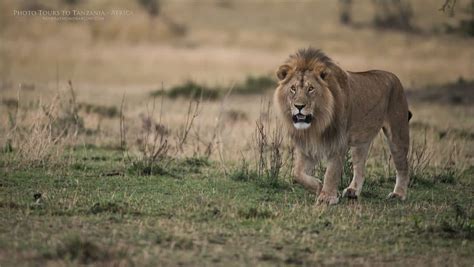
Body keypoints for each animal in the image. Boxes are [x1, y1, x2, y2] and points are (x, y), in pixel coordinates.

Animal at [274, 48, 412, 205]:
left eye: (311, 88)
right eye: (293, 88)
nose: (299, 106)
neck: (316, 124)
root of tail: (394, 77)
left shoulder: (338, 141)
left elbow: (331, 172)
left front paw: (327, 196)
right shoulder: (307, 146)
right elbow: (296, 173)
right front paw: (318, 186)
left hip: (398, 132)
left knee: (403, 166)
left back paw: (398, 194)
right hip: (360, 142)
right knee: (360, 167)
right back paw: (353, 191)